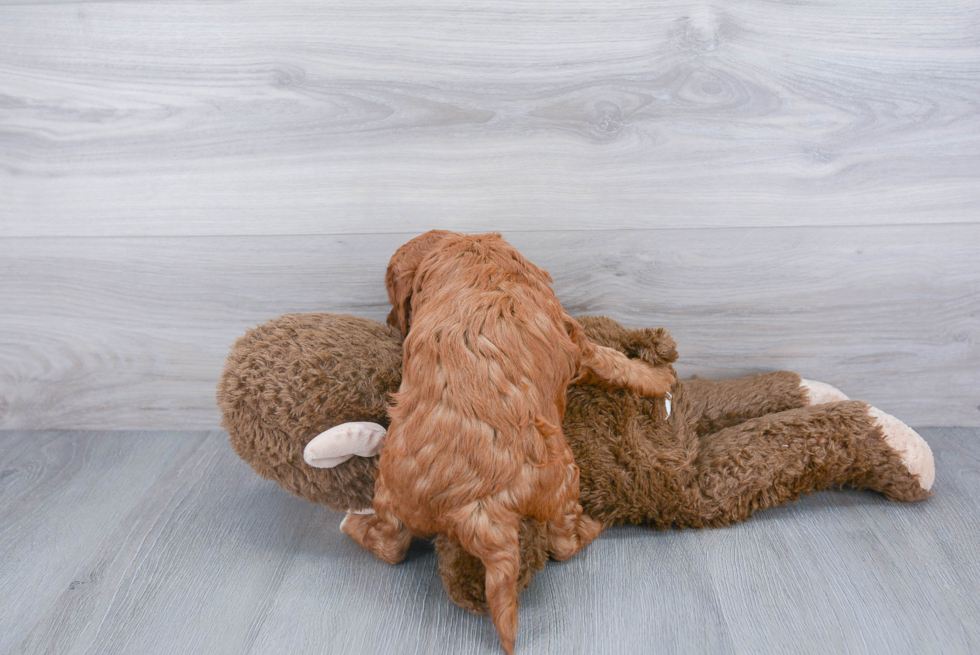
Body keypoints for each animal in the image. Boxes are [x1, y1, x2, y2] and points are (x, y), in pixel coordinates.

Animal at [342, 232, 672, 655]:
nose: (388, 324)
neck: (470, 249)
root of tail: (478, 507)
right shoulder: (575, 337)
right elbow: (614, 361)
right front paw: (658, 376)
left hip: (391, 489)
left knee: (390, 545)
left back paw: (354, 525)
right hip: (562, 478)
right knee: (563, 543)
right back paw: (593, 526)